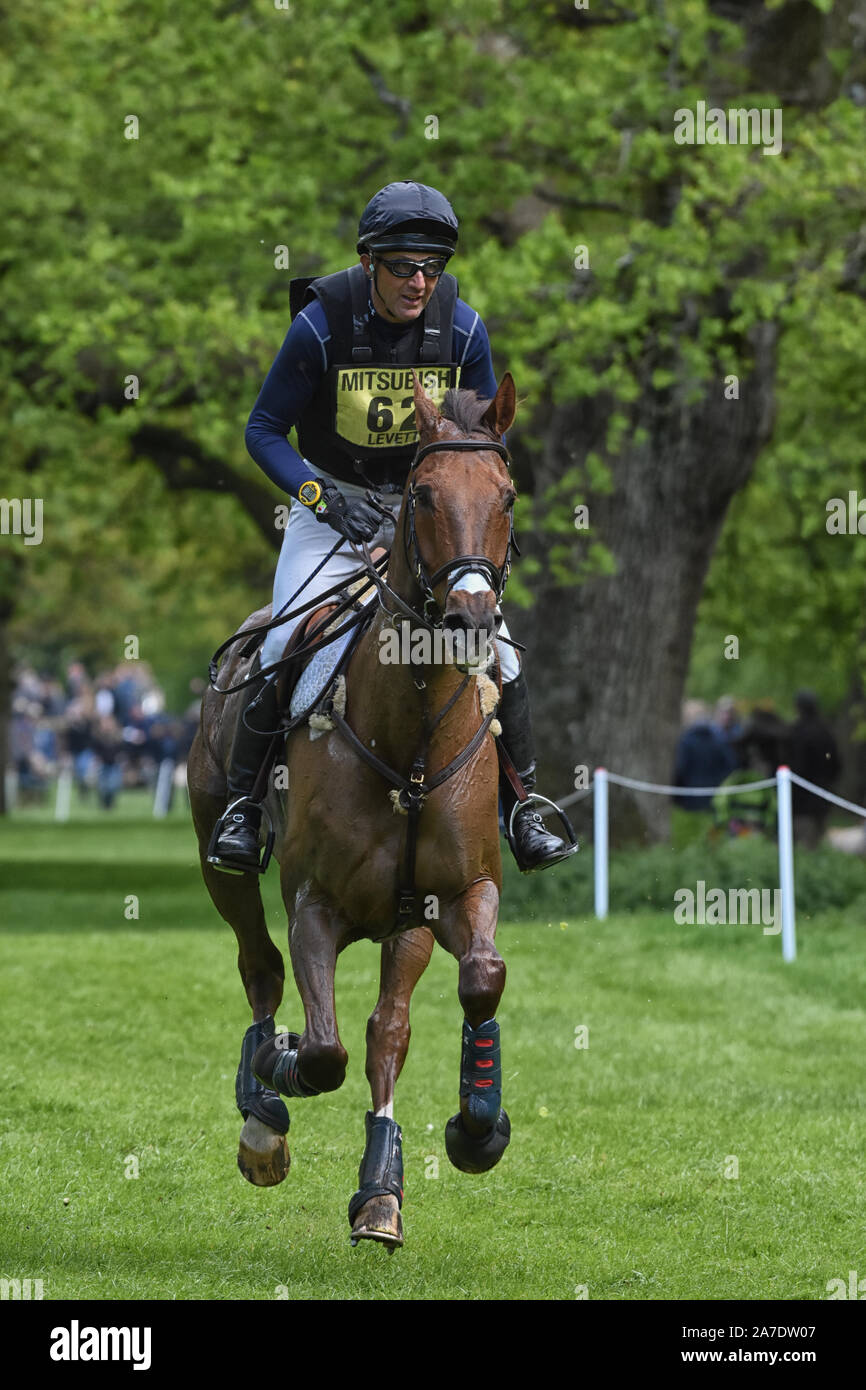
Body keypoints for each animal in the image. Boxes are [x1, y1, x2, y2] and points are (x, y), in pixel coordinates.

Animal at [187, 369, 522, 1251]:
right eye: (424, 495)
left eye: (507, 495)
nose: (472, 619)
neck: (409, 741)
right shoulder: (315, 905)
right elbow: (321, 1049)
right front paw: (274, 1075)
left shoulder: (456, 895)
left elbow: (477, 981)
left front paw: (476, 1126)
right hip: (220, 866)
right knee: (261, 969)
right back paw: (262, 1111)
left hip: (404, 926)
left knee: (387, 1031)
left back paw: (381, 1192)